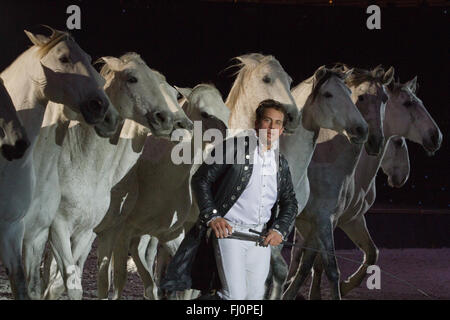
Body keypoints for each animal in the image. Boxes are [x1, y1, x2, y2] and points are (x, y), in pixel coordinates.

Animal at [284, 65, 396, 300]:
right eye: (360, 97)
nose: (374, 140)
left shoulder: (321, 221)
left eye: (384, 99)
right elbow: (323, 266)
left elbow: (311, 264)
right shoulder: (321, 220)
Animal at [308, 76, 442, 298]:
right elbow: (314, 262)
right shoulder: (324, 219)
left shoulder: (351, 219)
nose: (436, 137)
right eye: (408, 103)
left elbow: (372, 253)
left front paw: (345, 286)